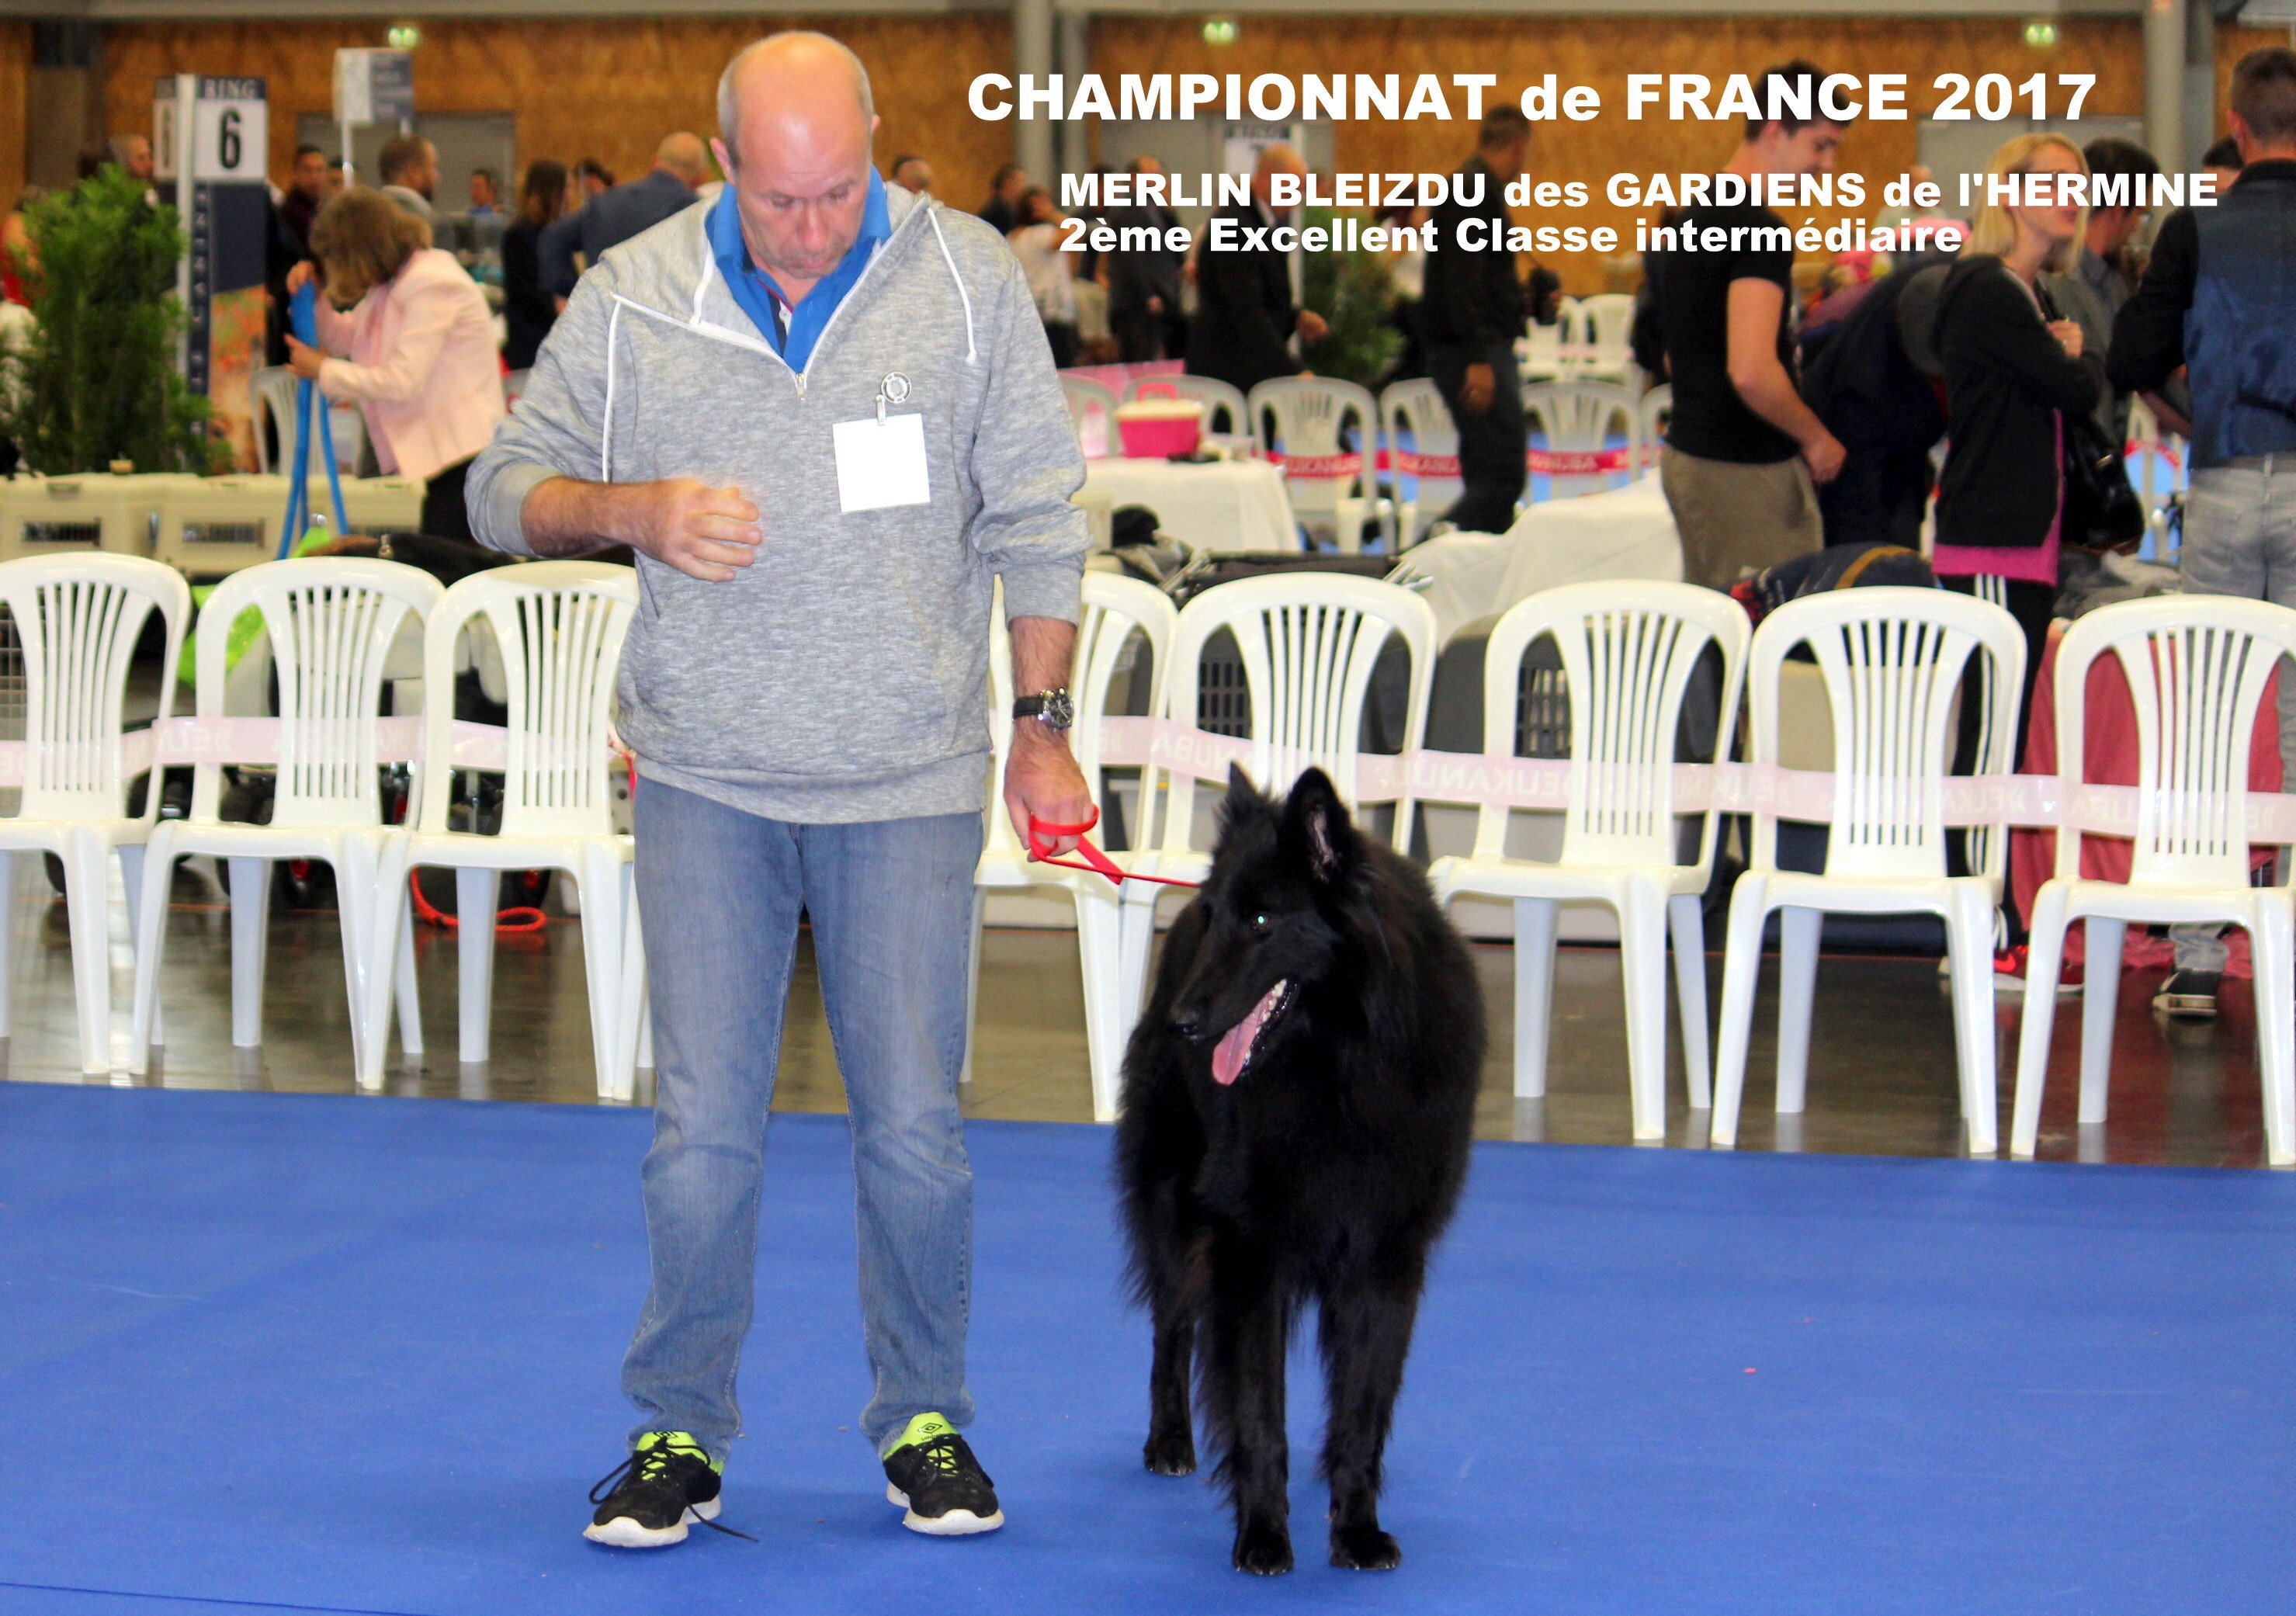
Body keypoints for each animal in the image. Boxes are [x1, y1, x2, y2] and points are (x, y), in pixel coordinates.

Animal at [1115, 761, 1478, 1569]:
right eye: (1217, 916)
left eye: (1260, 922)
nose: (1182, 1023)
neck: (1340, 1062)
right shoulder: (1254, 1252)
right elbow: (1259, 1413)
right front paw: (1263, 1534)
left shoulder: (1384, 1261)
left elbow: (1362, 1411)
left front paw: (1357, 1529)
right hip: (1174, 1211)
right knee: (1170, 1328)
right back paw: (1170, 1441)